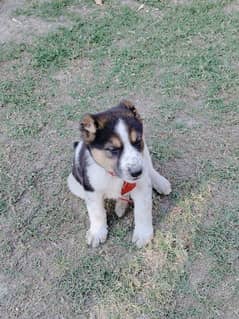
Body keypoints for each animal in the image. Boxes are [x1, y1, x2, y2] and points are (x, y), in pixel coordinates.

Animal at [67, 100, 172, 248]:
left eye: (138, 141)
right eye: (112, 149)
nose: (136, 172)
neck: (115, 177)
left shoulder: (141, 185)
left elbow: (142, 211)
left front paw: (143, 234)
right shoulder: (91, 190)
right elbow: (97, 212)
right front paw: (97, 232)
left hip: (145, 154)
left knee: (149, 168)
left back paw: (160, 183)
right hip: (74, 183)